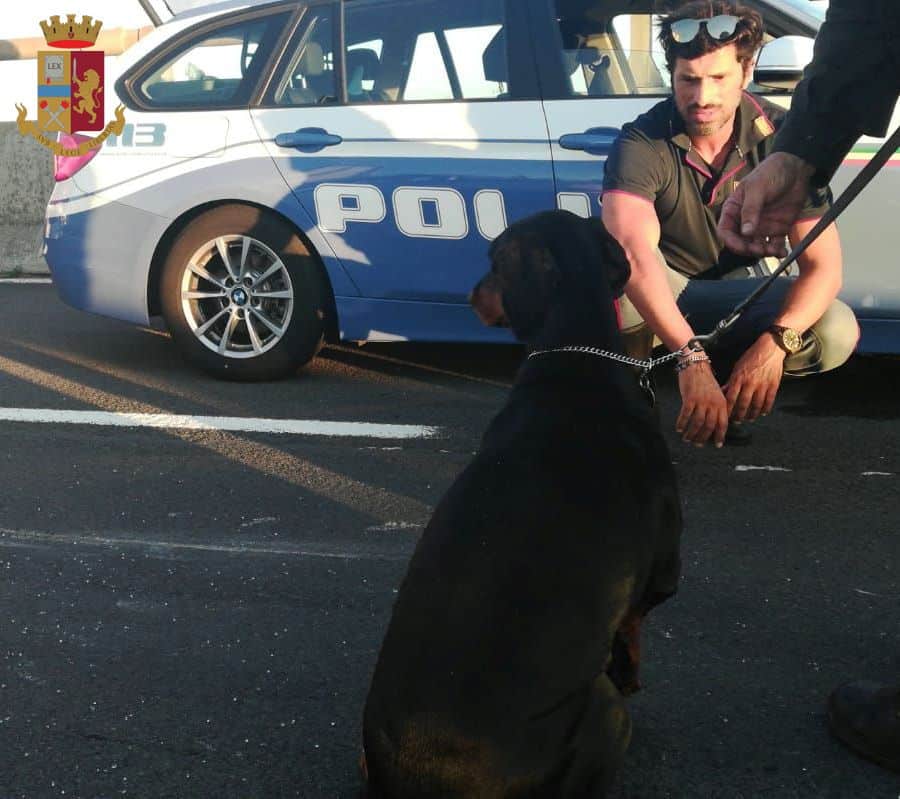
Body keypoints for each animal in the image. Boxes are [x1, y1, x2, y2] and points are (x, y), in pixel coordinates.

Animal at [362, 209, 680, 796]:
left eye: (491, 260)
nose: (469, 293)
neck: (575, 355)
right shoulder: (662, 574)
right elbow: (633, 628)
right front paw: (631, 671)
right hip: (604, 717)